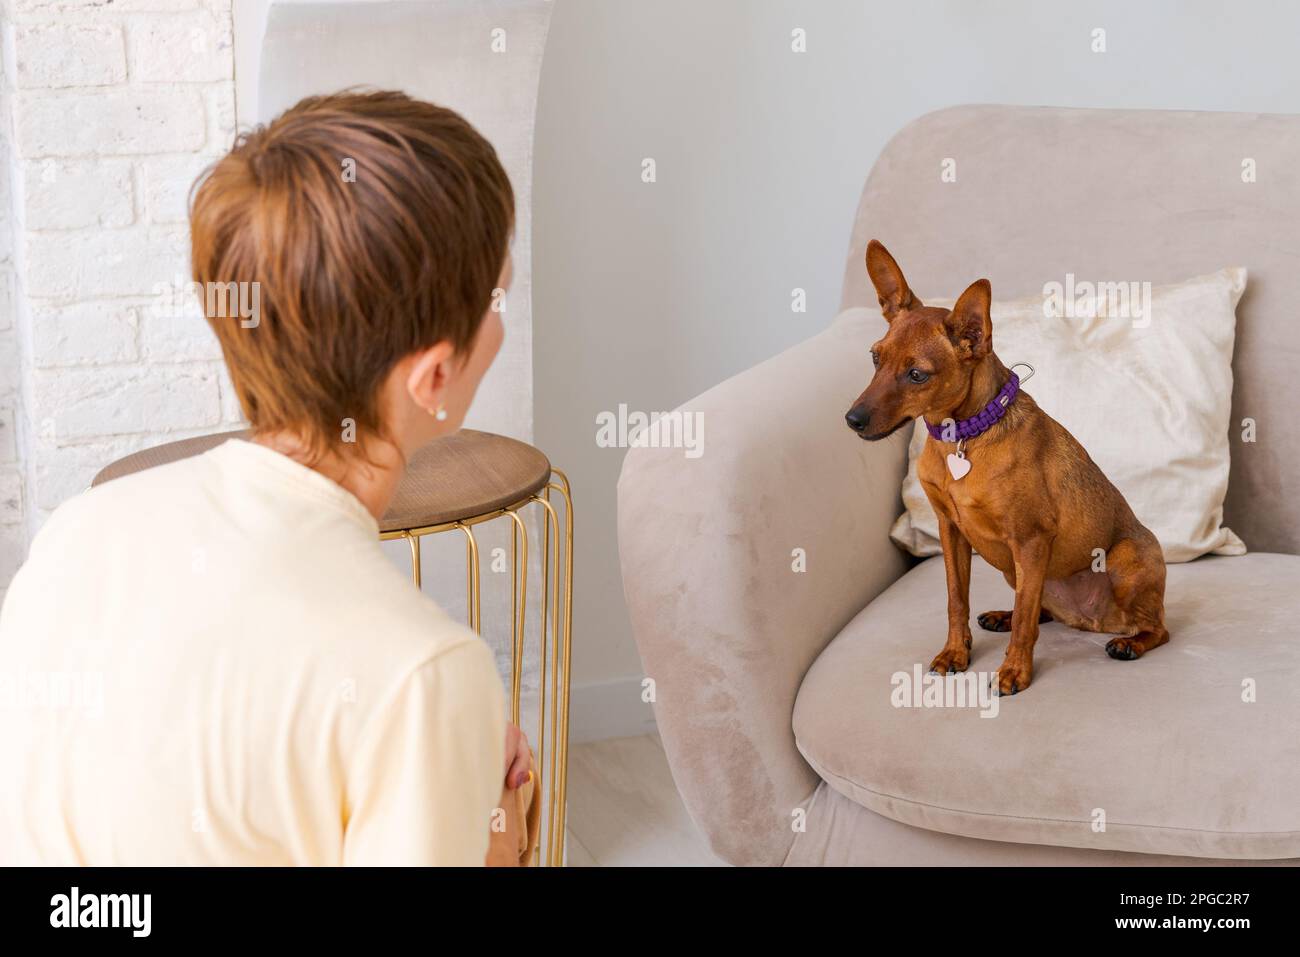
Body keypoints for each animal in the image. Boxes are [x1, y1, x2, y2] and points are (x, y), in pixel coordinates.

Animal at [847, 239, 1175, 696]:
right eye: (875, 358)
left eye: (916, 375)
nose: (852, 420)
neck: (964, 438)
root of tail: (1093, 621)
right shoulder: (951, 532)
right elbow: (956, 599)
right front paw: (956, 653)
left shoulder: (1031, 539)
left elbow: (1024, 622)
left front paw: (1014, 671)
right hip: (1012, 570)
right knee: (1039, 610)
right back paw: (1004, 616)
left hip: (1123, 562)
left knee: (1156, 628)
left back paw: (1130, 643)